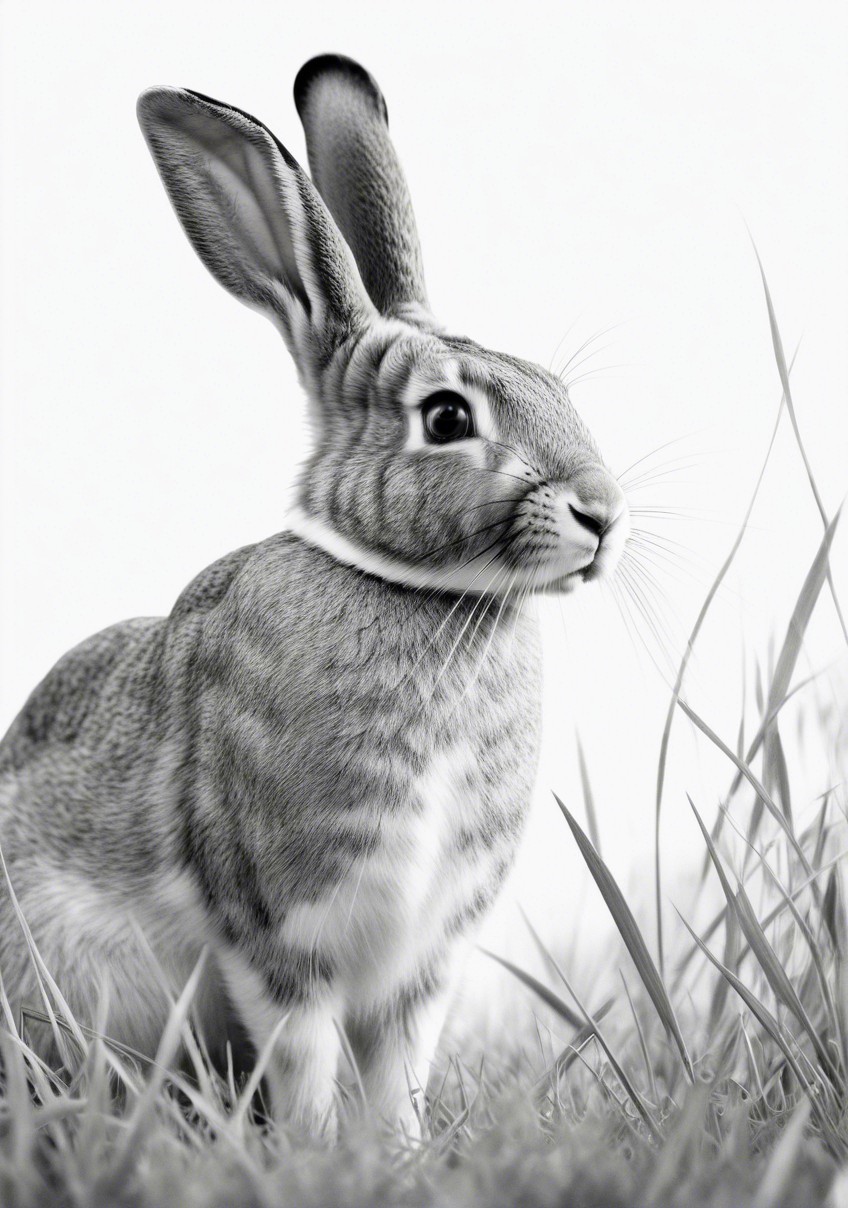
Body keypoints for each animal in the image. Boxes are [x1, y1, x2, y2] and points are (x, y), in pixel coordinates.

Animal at [0, 53, 629, 1137]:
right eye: (446, 416)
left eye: (553, 385)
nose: (604, 512)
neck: (416, 591)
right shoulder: (278, 927)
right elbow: (303, 1053)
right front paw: (318, 1151)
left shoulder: (424, 956)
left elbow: (398, 1067)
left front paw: (399, 1154)